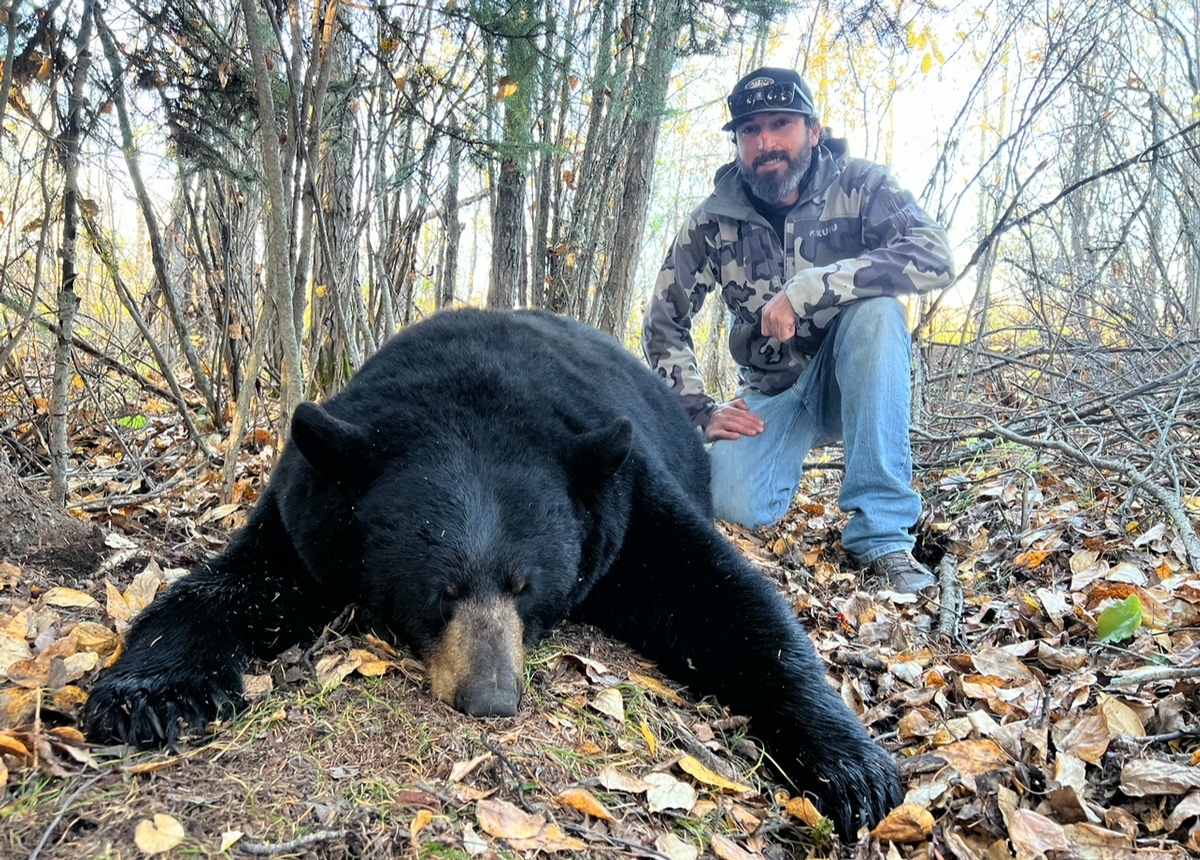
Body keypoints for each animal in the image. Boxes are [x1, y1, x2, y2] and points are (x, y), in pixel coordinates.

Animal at [88, 309, 902, 839]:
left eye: (523, 585)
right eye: (439, 590)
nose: (491, 698)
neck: (469, 387)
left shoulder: (622, 497)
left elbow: (725, 600)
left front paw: (854, 770)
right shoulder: (313, 507)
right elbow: (238, 583)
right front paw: (145, 695)